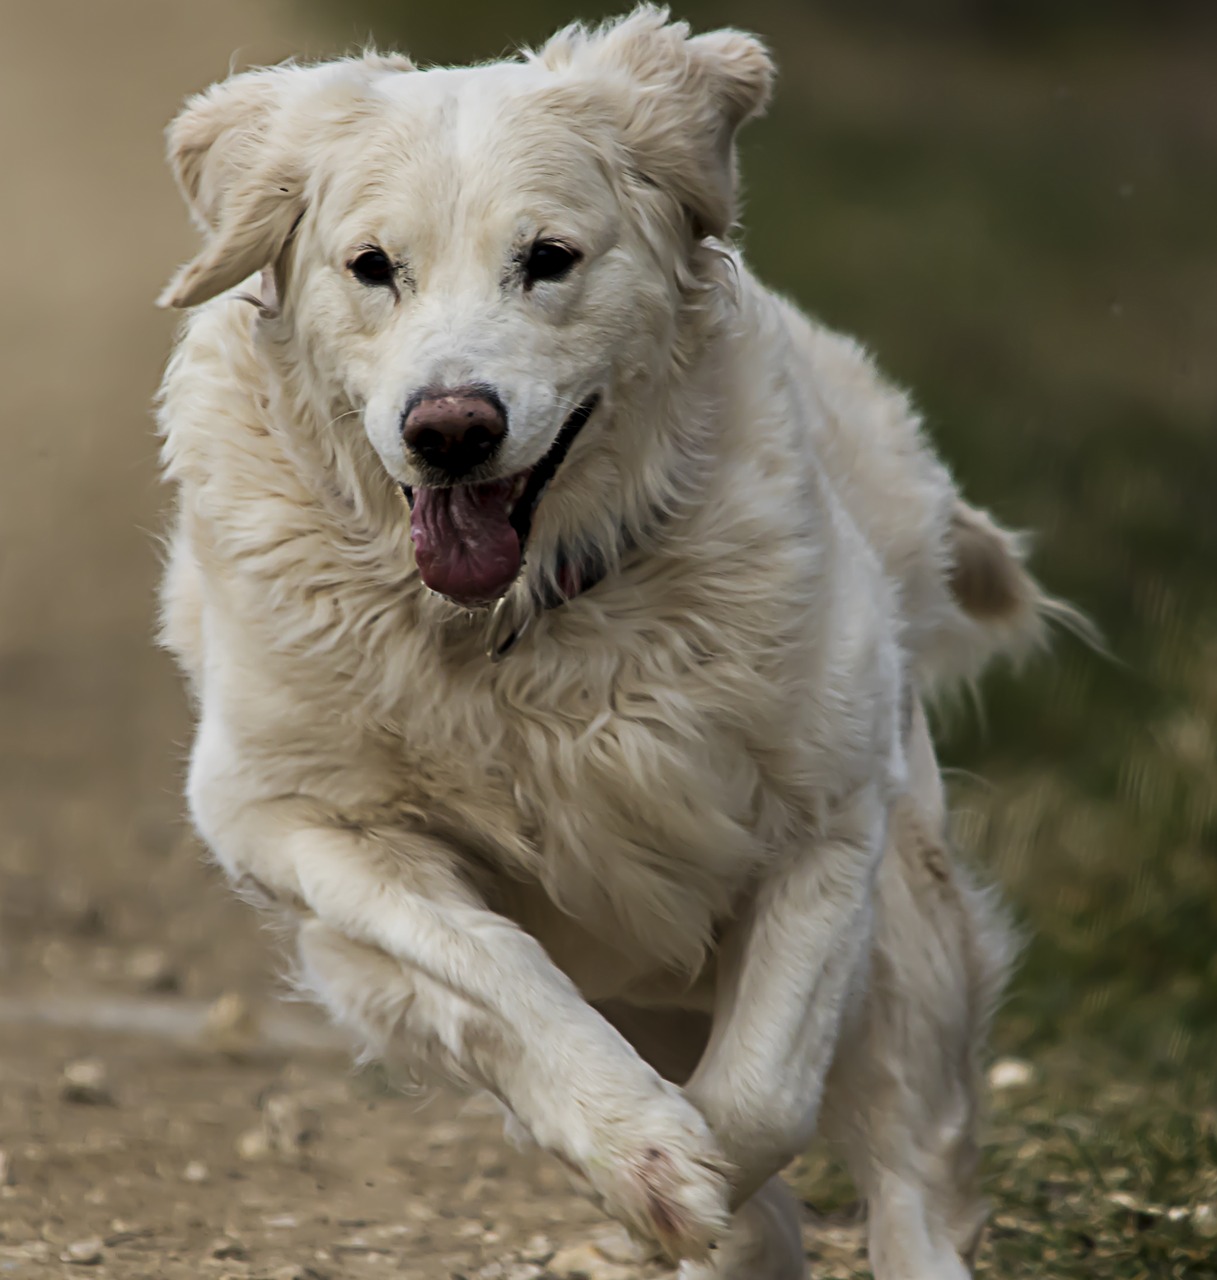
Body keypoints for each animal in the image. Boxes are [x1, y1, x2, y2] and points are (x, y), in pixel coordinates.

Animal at [152, 12, 1049, 1280]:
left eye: (549, 258)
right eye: (372, 265)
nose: (450, 427)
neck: (520, 623)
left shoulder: (829, 813)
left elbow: (765, 1092)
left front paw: (692, 1171)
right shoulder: (290, 816)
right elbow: (494, 966)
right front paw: (640, 1154)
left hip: (910, 929)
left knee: (910, 1167)